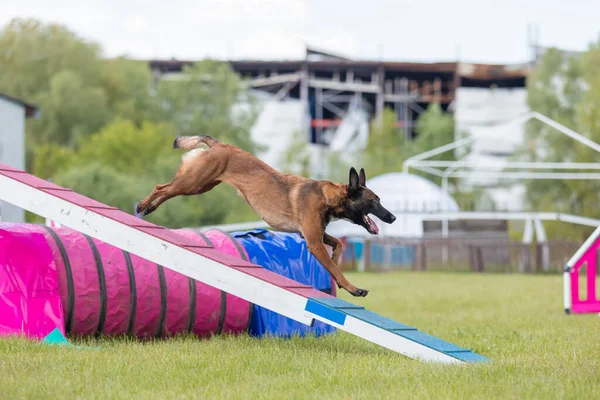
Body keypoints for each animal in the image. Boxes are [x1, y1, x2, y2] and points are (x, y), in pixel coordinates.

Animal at [138, 136, 396, 296]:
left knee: (166, 188)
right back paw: (143, 205)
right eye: (374, 201)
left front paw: (335, 259)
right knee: (162, 187)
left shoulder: (312, 235)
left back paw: (148, 208)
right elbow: (337, 271)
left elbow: (338, 246)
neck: (328, 196)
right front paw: (352, 288)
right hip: (193, 183)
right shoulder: (313, 241)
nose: (392, 217)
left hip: (201, 185)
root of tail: (219, 143)